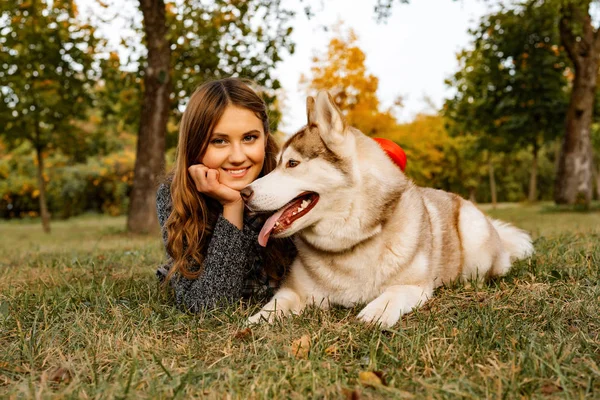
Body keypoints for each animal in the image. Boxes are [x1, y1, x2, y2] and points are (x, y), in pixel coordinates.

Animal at [241, 91, 536, 328]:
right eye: (278, 162)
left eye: (292, 163)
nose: (244, 193)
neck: (351, 244)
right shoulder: (295, 290)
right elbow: (277, 304)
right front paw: (257, 320)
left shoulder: (415, 286)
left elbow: (394, 292)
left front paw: (377, 311)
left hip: (474, 237)